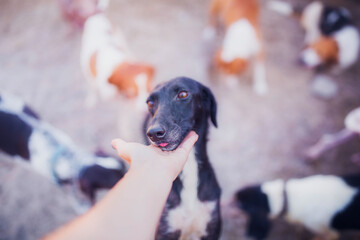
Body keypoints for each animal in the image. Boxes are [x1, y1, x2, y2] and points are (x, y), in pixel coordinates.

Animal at [144, 77, 222, 240]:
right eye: (150, 103)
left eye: (183, 94)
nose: (153, 133)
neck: (189, 166)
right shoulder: (166, 229)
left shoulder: (211, 227)